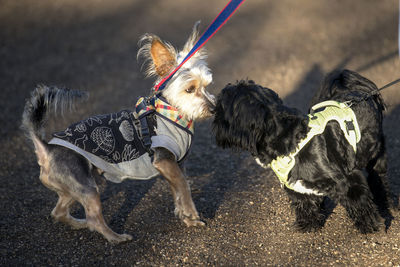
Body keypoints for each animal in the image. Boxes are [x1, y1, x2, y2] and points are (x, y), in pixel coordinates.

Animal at [212, 70, 390, 233]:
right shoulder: (296, 187)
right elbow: (306, 203)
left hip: (376, 153)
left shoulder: (348, 179)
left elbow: (360, 202)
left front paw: (370, 225)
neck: (291, 140)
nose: (213, 108)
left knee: (378, 175)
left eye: (222, 105)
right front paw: (309, 223)